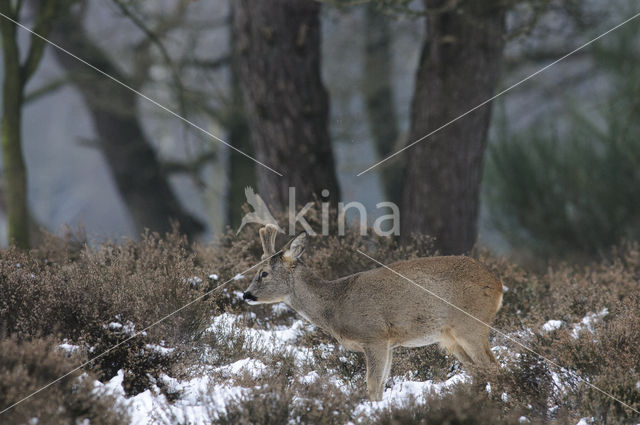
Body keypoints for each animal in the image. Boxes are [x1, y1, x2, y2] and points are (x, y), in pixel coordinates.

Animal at [242, 224, 502, 400]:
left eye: (263, 273)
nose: (246, 294)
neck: (335, 304)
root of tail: (498, 284)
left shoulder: (374, 335)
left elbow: (373, 383)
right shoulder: (388, 343)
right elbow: (382, 382)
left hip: (471, 324)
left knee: (492, 366)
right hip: (449, 338)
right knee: (479, 371)